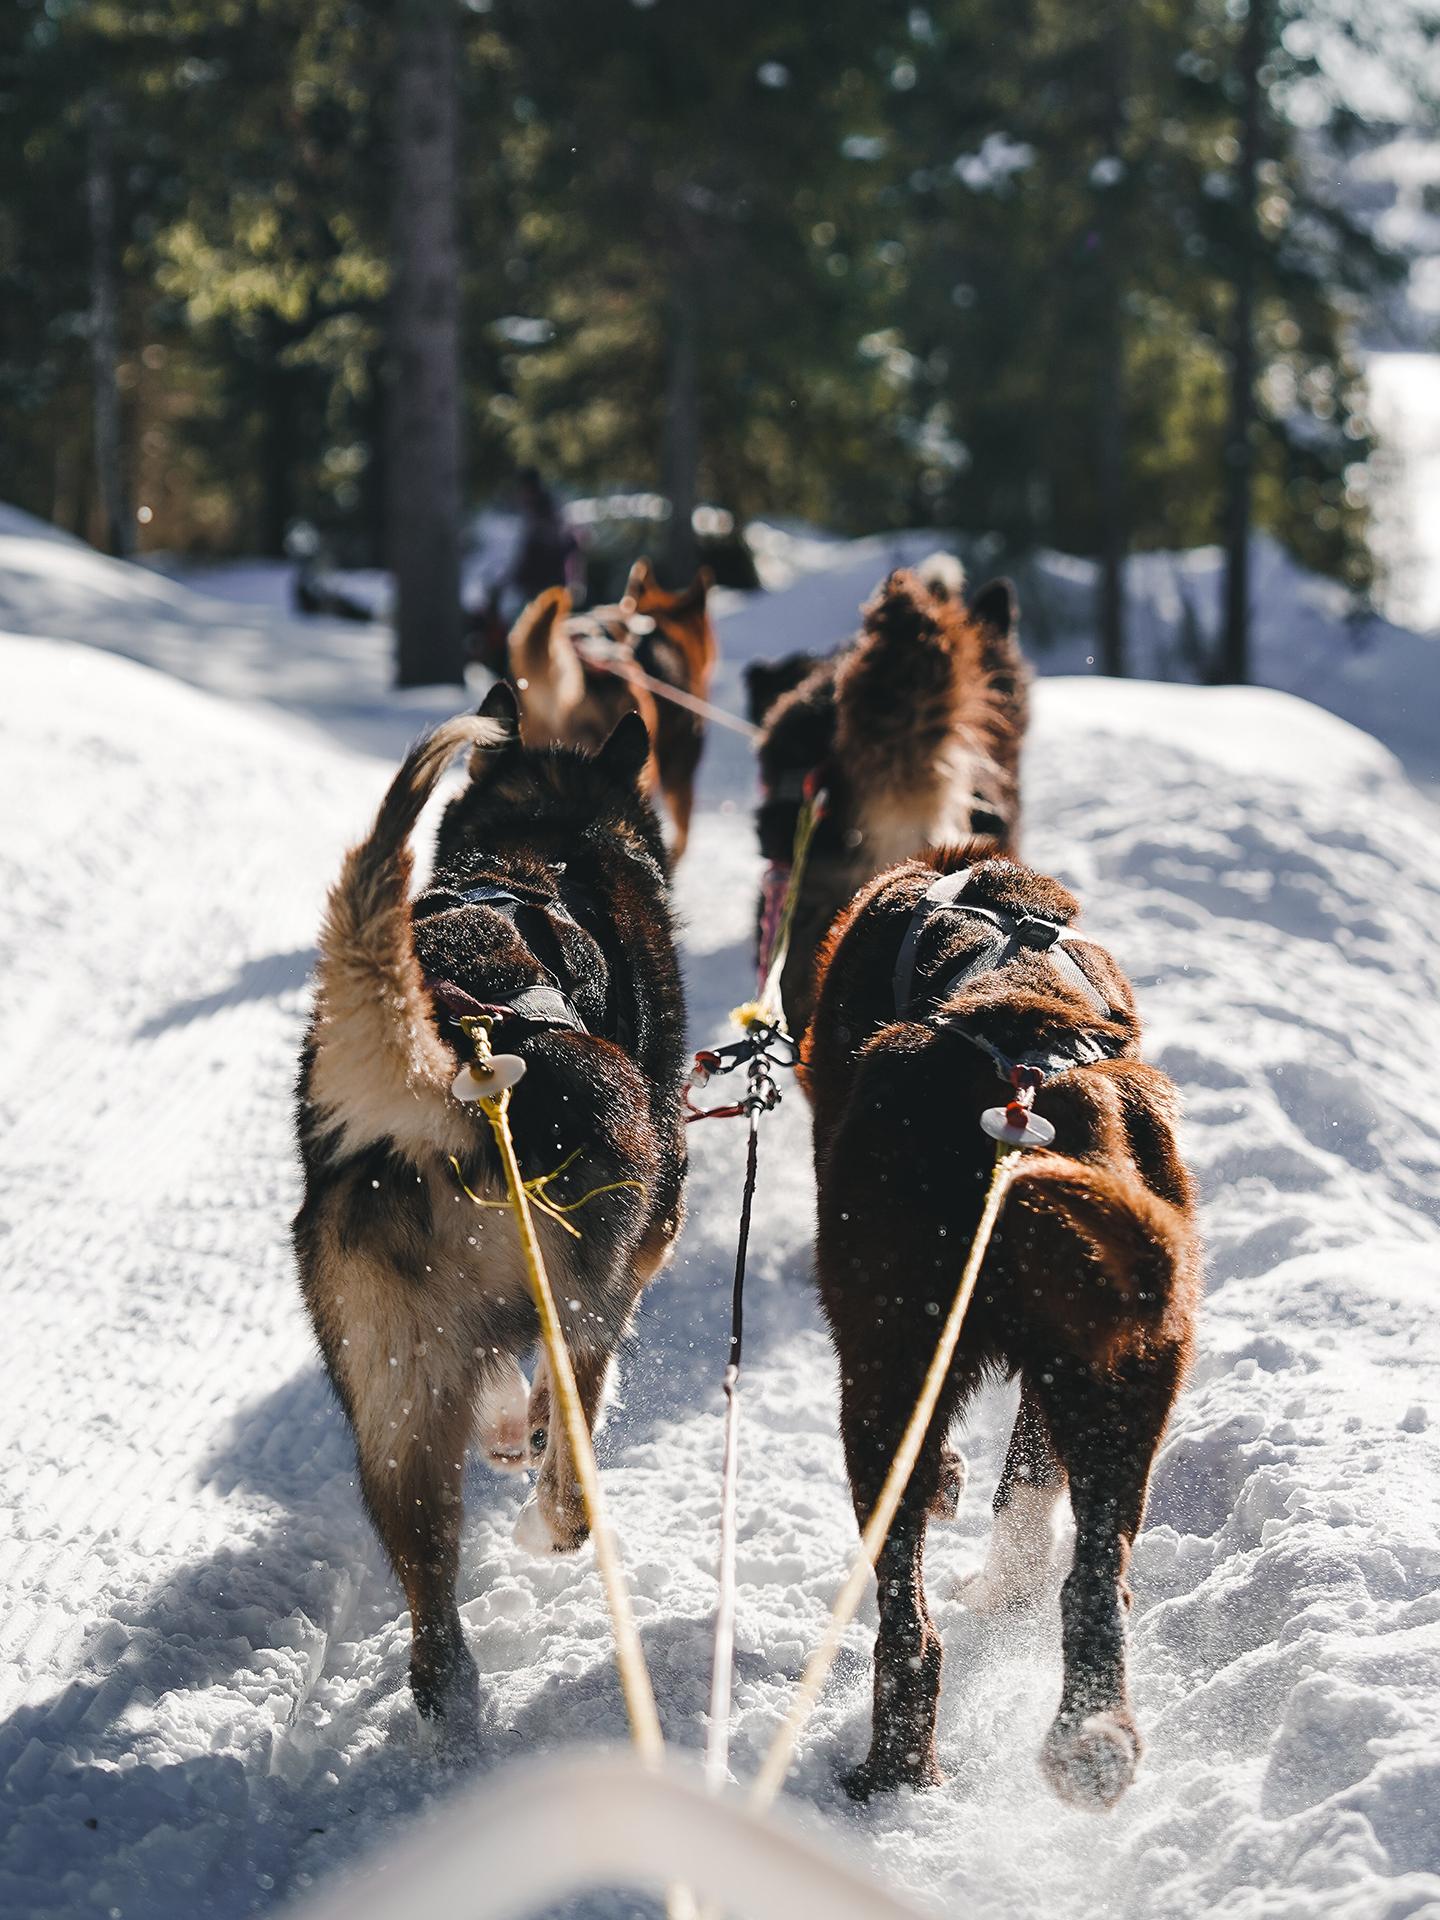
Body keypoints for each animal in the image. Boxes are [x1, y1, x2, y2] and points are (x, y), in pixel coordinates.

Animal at [293, 687, 687, 1743]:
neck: (536, 847)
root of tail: (457, 1073)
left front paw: (507, 1430)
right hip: (585, 1305)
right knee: (571, 1478)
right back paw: (548, 1525)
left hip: (391, 1390)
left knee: (430, 1576)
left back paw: (451, 1701)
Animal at [806, 848, 1198, 1804]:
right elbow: (1027, 1474)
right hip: (1133, 1367)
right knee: (1095, 1581)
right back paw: (1091, 1740)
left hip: (884, 1379)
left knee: (907, 1623)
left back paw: (894, 1770)